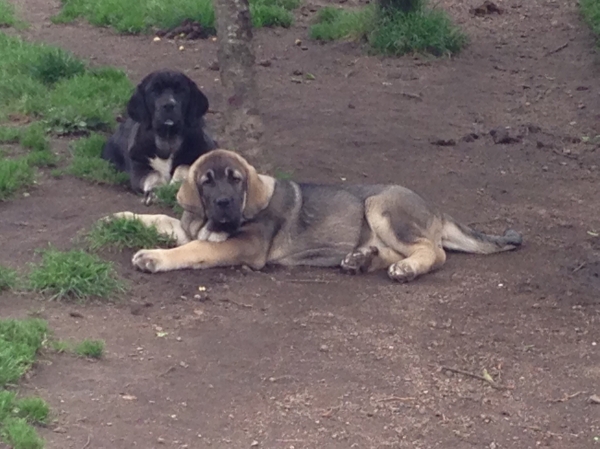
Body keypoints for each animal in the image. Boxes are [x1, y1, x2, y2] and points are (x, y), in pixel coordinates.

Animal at [102, 69, 217, 204]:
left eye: (181, 90)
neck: (168, 139)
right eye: (154, 91)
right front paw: (156, 191)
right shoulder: (139, 167)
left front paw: (176, 184)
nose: (169, 105)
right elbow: (154, 174)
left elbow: (184, 167)